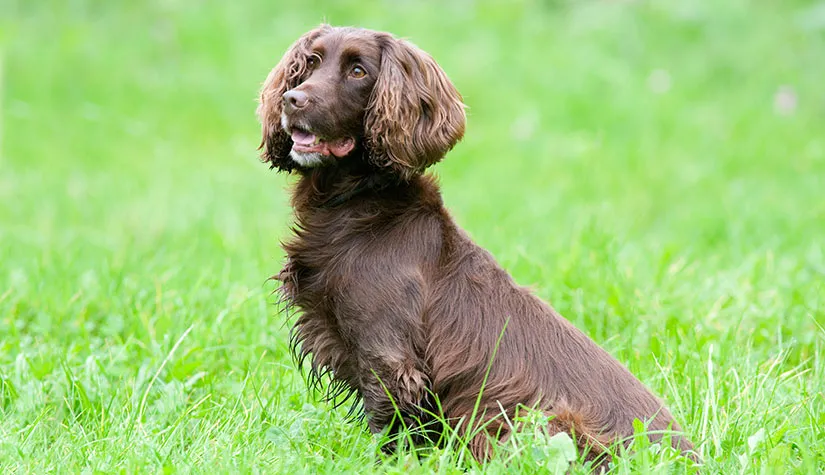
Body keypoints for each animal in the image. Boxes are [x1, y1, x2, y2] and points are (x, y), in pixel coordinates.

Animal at [258, 24, 696, 466]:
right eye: (311, 62)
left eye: (358, 71)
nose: (292, 100)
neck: (359, 203)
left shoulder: (390, 355)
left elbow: (387, 425)